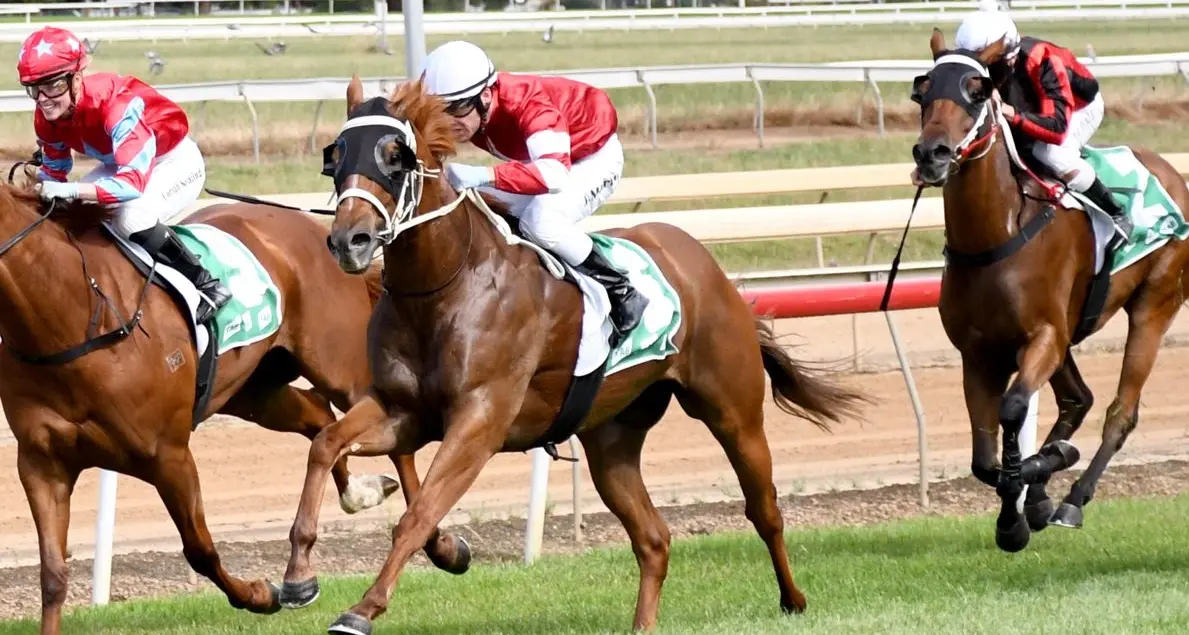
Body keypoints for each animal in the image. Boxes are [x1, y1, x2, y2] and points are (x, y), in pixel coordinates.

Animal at [0, 173, 472, 635]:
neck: (72, 317)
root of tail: (315, 227)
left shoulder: (168, 455)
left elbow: (200, 549)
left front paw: (261, 595)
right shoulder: (41, 465)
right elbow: (53, 575)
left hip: (343, 370)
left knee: (394, 444)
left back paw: (443, 547)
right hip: (255, 392)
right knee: (318, 420)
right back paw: (360, 494)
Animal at [273, 76, 870, 635]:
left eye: (397, 158)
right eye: (335, 158)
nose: (348, 241)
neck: (446, 283)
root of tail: (705, 263)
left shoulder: (479, 422)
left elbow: (418, 514)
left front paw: (362, 609)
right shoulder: (404, 411)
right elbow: (325, 445)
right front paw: (298, 577)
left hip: (732, 411)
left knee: (763, 509)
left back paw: (793, 599)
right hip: (612, 439)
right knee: (654, 538)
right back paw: (643, 624)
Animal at [910, 30, 1189, 552]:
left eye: (977, 90)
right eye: (922, 90)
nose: (931, 155)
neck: (995, 235)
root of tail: (1171, 172)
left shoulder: (1042, 338)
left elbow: (1014, 410)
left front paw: (1021, 506)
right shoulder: (978, 353)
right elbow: (985, 460)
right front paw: (1023, 506)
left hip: (1155, 304)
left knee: (1120, 411)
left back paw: (1072, 500)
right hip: (1070, 334)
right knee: (1079, 399)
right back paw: (1046, 492)